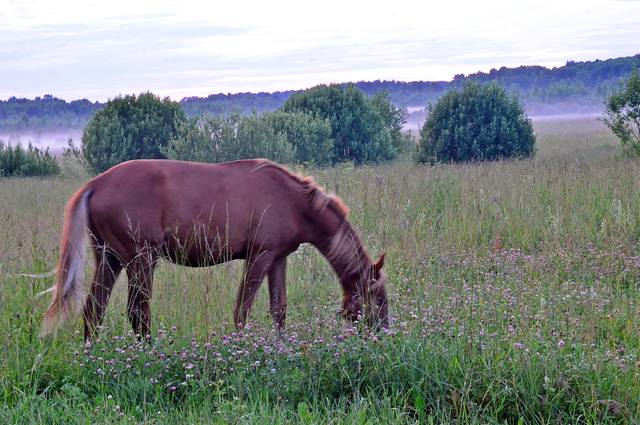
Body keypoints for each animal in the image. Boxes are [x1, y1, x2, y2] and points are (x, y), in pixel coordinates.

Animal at [41, 157, 390, 342]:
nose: (383, 335)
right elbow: (242, 310)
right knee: (138, 312)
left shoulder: (278, 259)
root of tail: (94, 184)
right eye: (378, 299)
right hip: (141, 261)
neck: (294, 202)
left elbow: (279, 309)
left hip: (110, 259)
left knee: (94, 309)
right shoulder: (259, 257)